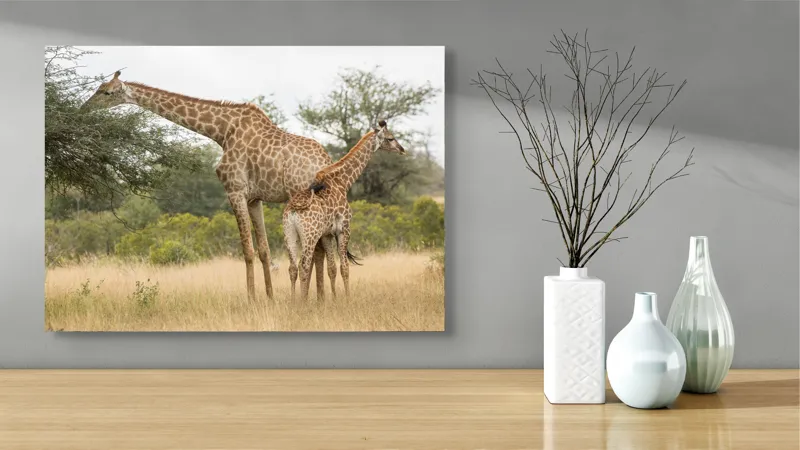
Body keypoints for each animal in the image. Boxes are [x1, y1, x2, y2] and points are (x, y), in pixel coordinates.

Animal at [80, 70, 335, 303]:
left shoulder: (235, 190)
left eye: (106, 92)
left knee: (316, 249)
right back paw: (321, 297)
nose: (83, 109)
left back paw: (314, 298)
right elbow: (264, 250)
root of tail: (325, 161)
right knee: (320, 249)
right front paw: (270, 298)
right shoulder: (254, 198)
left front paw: (252, 299)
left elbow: (247, 250)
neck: (222, 131)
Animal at [283, 120, 406, 302]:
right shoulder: (344, 229)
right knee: (303, 265)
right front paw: (347, 299)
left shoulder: (326, 234)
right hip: (309, 235)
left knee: (292, 268)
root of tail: (293, 210)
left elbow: (332, 268)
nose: (402, 149)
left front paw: (334, 299)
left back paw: (293, 302)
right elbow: (344, 267)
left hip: (290, 234)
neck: (343, 181)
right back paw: (302, 302)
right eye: (390, 138)